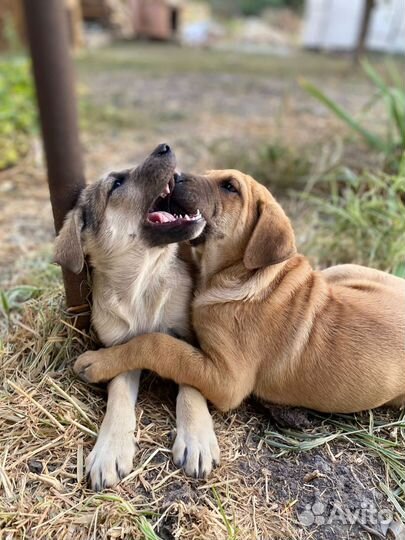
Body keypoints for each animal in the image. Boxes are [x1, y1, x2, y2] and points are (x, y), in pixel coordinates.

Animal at [72, 169, 404, 414]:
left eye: (230, 187)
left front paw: (99, 361)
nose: (175, 175)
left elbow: (157, 344)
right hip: (343, 270)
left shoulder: (227, 380)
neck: (240, 275)